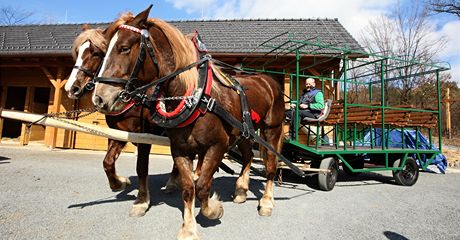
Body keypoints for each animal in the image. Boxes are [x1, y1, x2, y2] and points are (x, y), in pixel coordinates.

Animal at [92, 5, 284, 238]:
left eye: (124, 48)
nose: (99, 98)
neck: (196, 97)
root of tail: (268, 80)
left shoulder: (218, 145)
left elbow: (201, 186)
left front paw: (214, 209)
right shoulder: (180, 149)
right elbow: (188, 188)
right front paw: (189, 228)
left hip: (271, 130)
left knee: (271, 165)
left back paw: (266, 202)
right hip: (245, 132)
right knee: (247, 157)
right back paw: (240, 189)